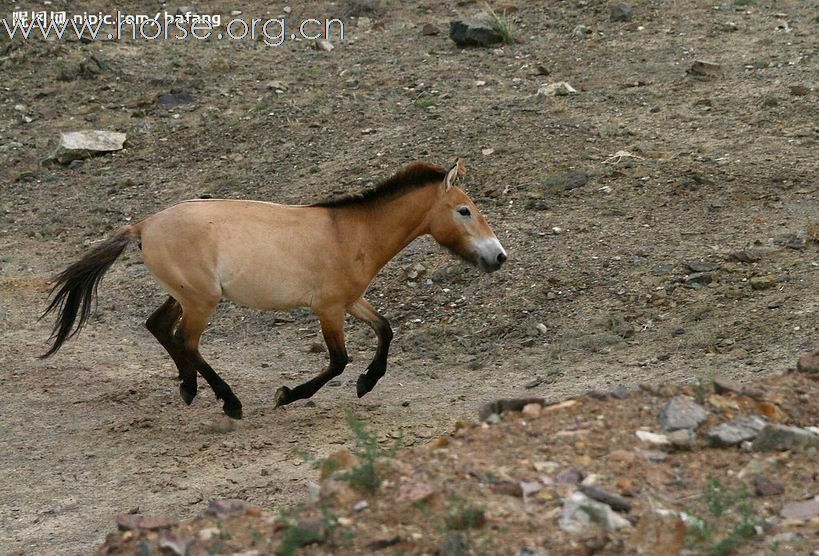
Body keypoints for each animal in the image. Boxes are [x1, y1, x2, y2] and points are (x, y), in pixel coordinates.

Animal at [43, 159, 512, 420]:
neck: (351, 233)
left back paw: (189, 389)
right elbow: (338, 361)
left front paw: (367, 382)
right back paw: (229, 402)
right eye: (465, 210)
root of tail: (142, 226)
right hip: (201, 299)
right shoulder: (328, 308)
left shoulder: (350, 301)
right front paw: (287, 395)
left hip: (185, 295)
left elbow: (385, 329)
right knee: (185, 341)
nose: (499, 256)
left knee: (159, 328)